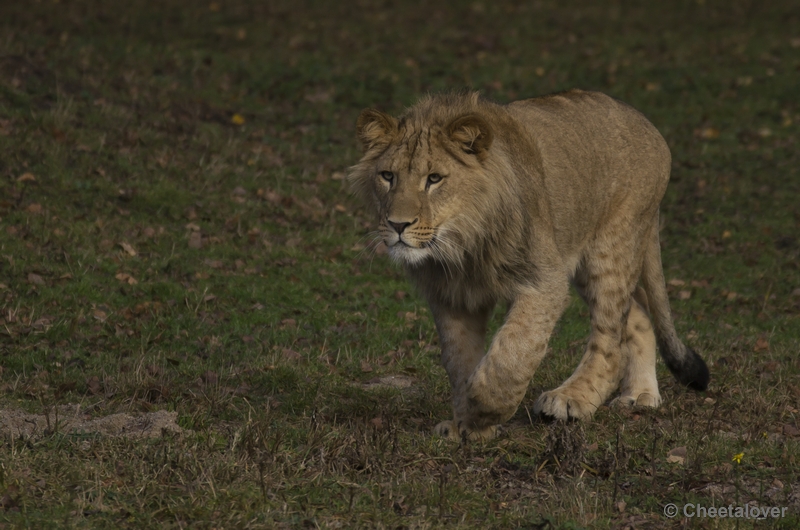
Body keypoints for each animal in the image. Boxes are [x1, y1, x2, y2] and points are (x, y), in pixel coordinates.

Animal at [346, 91, 708, 442]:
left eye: (434, 179)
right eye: (387, 176)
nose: (397, 225)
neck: (461, 247)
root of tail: (646, 123)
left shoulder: (543, 279)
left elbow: (513, 350)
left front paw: (485, 406)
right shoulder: (451, 296)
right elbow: (459, 358)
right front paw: (466, 423)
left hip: (610, 247)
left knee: (609, 341)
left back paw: (572, 399)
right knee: (638, 315)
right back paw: (640, 395)